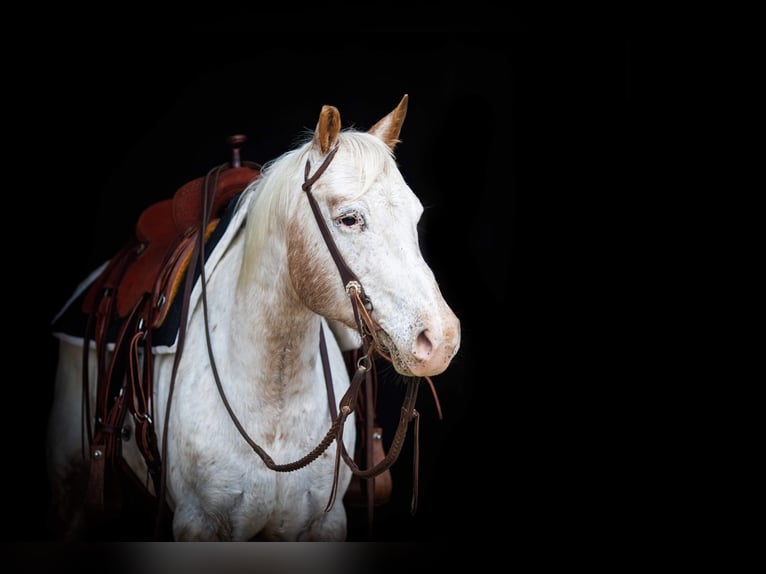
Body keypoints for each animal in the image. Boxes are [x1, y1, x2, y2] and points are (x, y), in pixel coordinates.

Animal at [46, 92, 462, 544]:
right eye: (349, 219)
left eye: (415, 217)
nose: (441, 339)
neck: (273, 399)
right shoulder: (198, 523)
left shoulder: (322, 524)